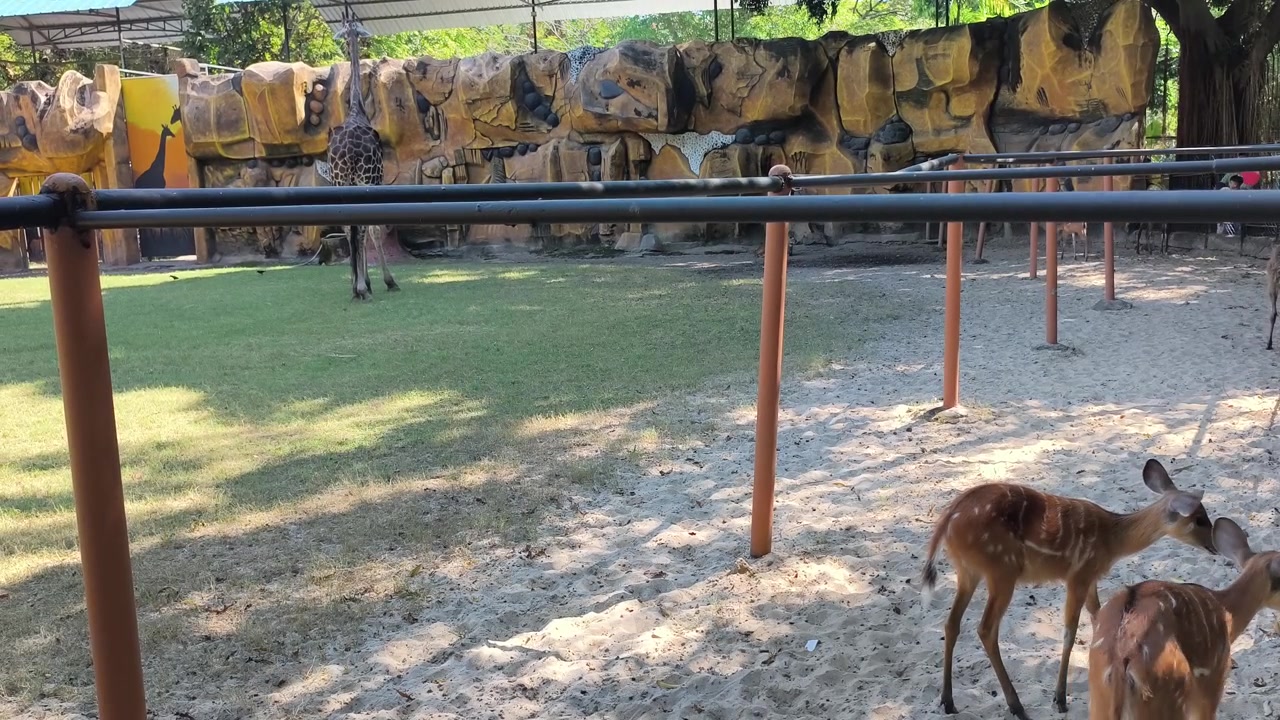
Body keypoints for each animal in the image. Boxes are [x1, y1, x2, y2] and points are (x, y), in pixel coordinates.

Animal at [325, 13, 397, 299]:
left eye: (349, 30)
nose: (346, 39)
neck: (357, 108)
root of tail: (349, 153)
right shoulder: (375, 181)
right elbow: (373, 228)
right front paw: (381, 281)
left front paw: (361, 281)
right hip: (364, 178)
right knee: (363, 227)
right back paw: (363, 286)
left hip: (340, 180)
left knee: (349, 227)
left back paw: (356, 286)